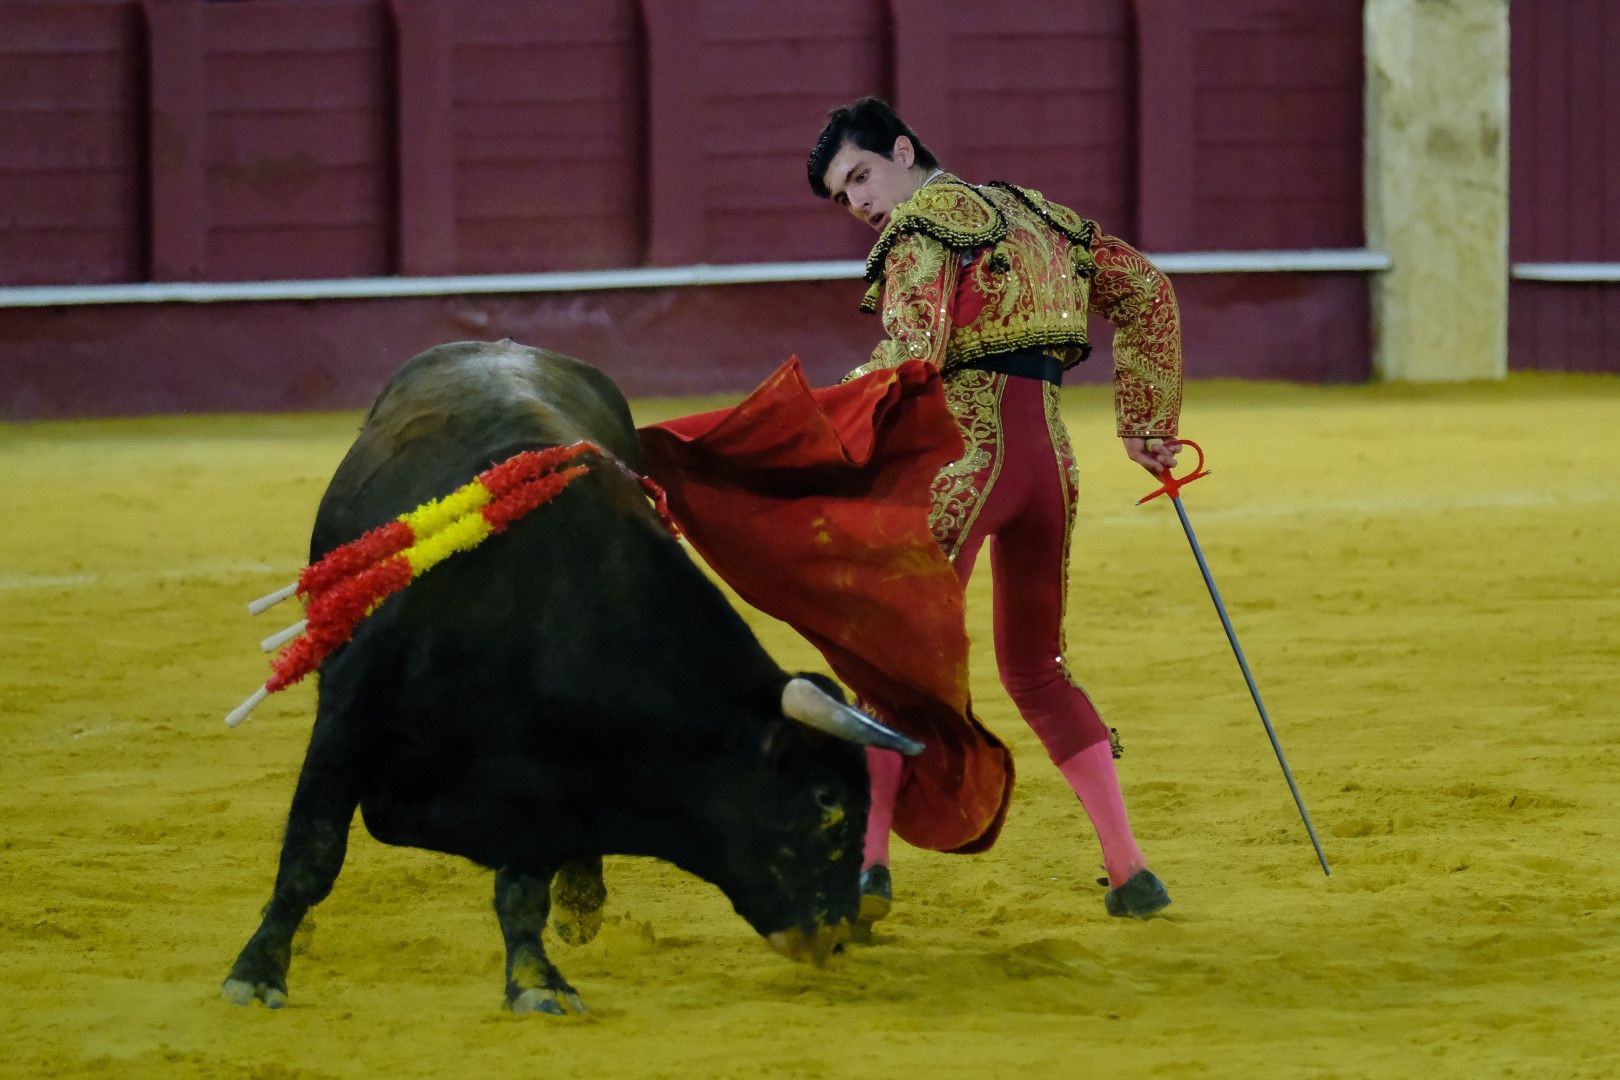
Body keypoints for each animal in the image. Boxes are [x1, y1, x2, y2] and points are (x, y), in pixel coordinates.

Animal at [223, 341, 926, 1016]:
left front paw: (537, 980)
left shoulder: (548, 780)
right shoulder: (349, 717)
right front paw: (257, 973)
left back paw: (582, 899)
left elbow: (524, 888)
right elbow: (312, 854)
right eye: (826, 800)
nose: (835, 933)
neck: (544, 610)